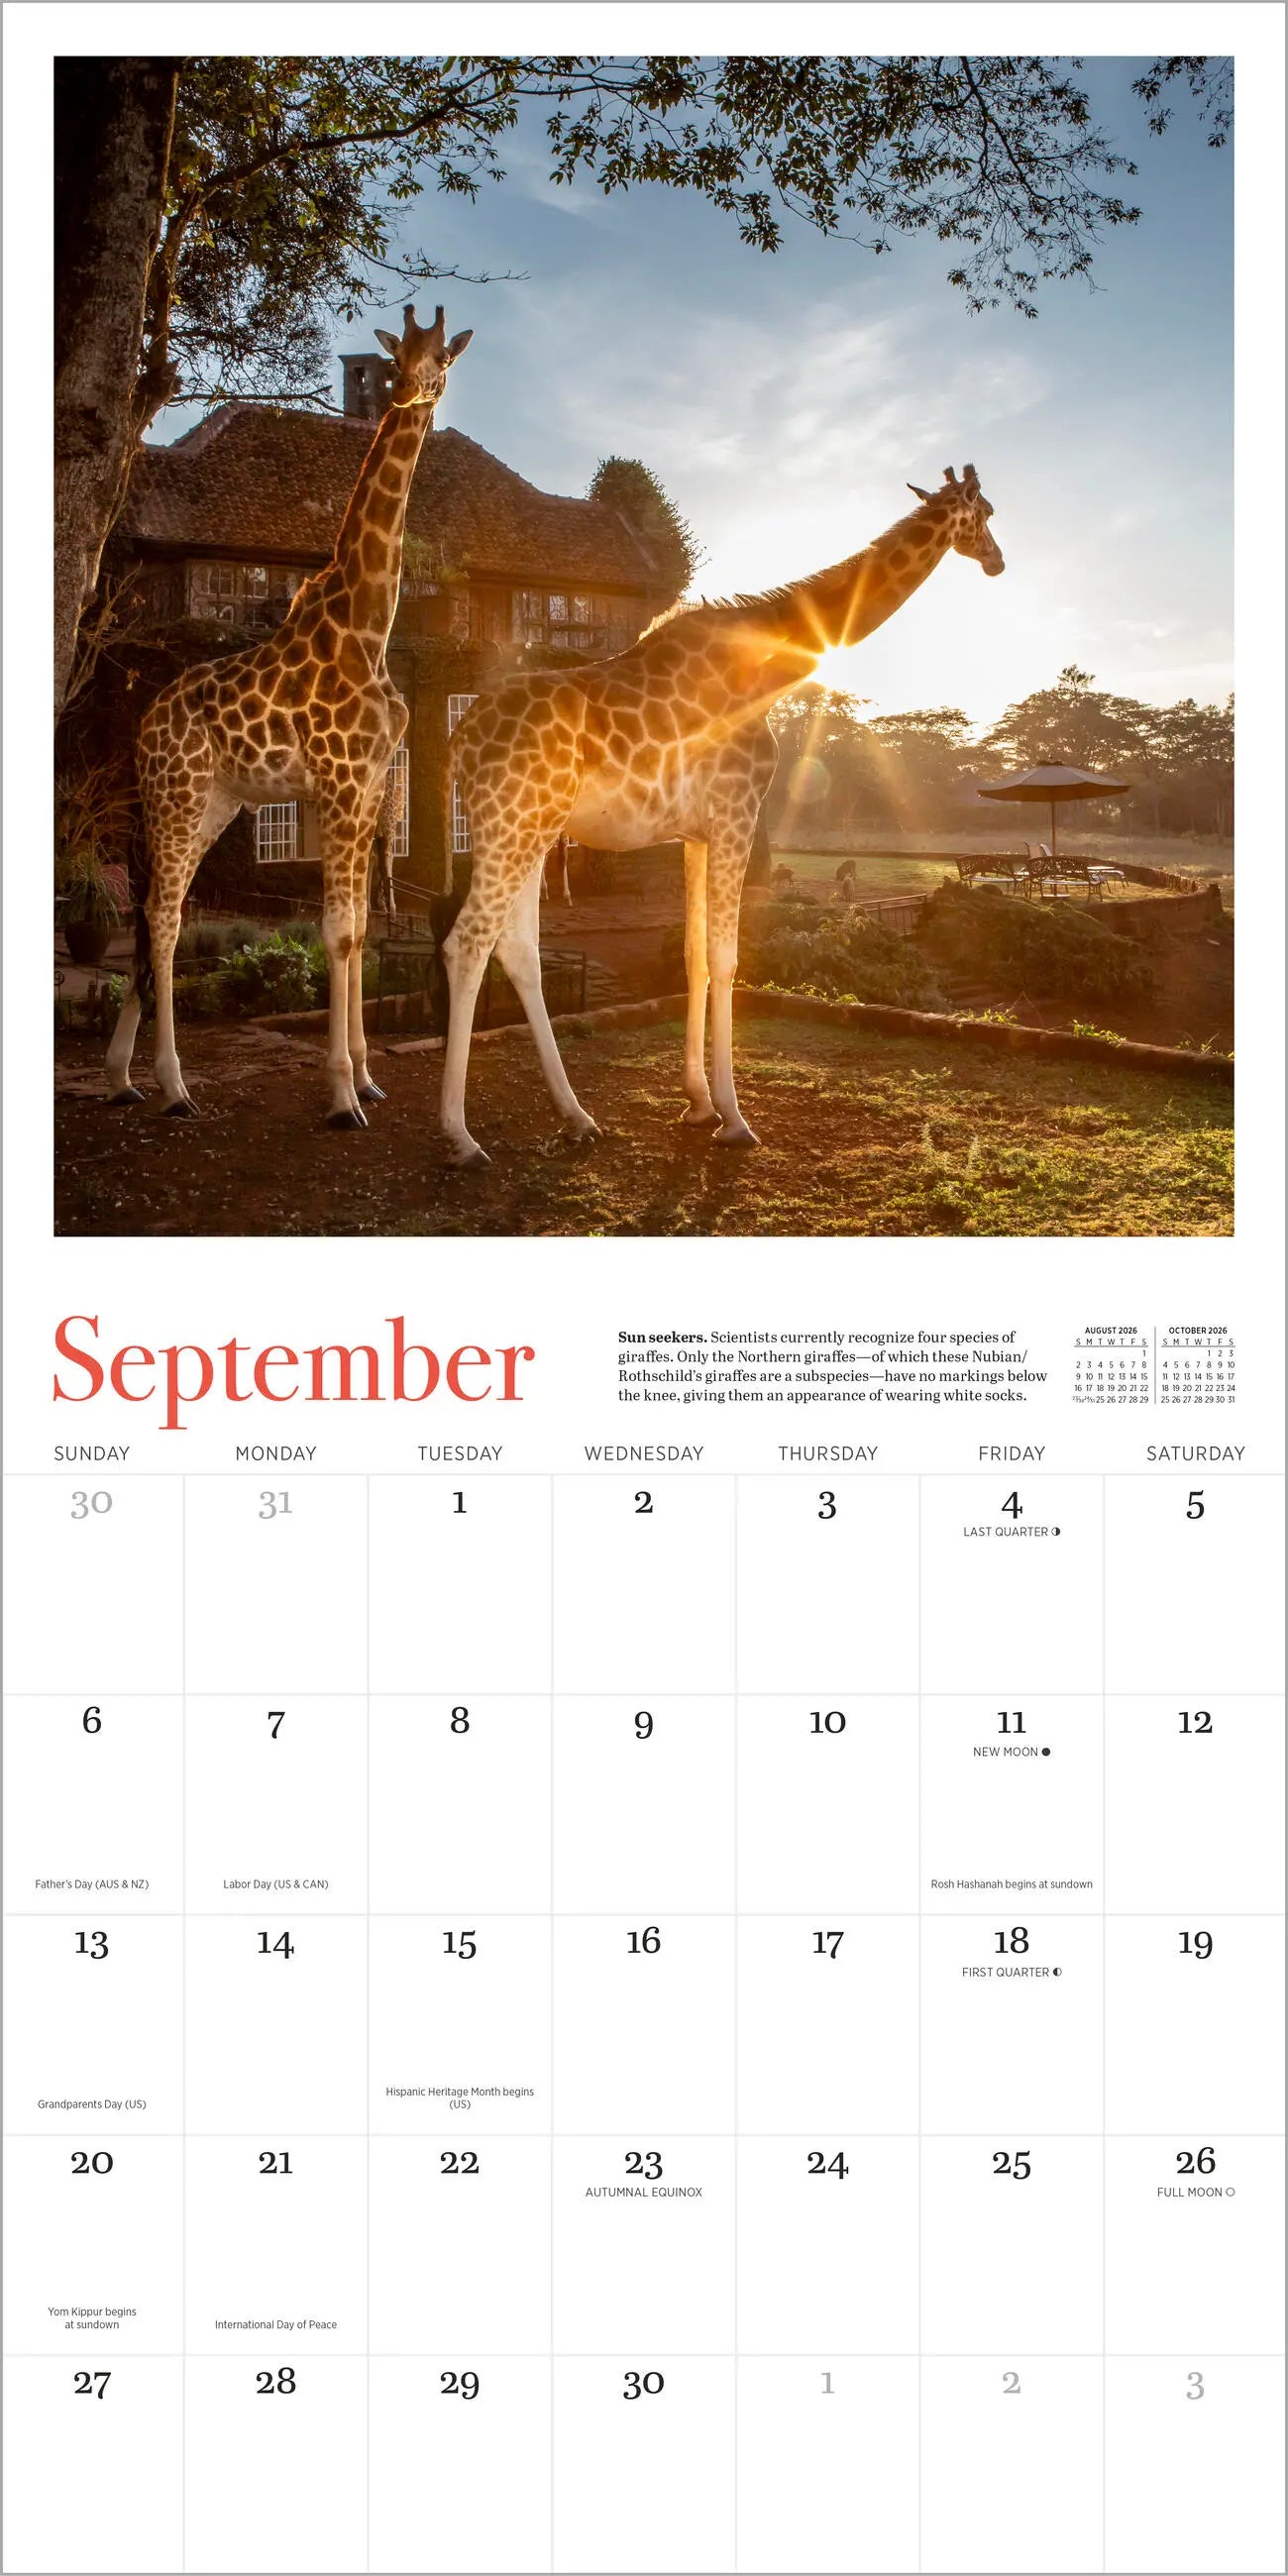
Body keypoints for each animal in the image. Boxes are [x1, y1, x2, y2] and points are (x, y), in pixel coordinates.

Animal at [105, 304, 471, 1124]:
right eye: (398, 358)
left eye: (445, 359)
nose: (413, 392)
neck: (368, 625)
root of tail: (143, 725)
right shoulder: (337, 783)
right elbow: (335, 934)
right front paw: (341, 1096)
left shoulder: (366, 790)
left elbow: (361, 930)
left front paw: (366, 1077)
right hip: (176, 798)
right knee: (163, 921)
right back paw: (174, 1086)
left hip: (209, 806)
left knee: (153, 917)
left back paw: (119, 1077)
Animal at [438, 464, 1004, 1167]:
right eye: (987, 511)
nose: (998, 561)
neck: (768, 665)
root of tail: (459, 743)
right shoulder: (738, 812)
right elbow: (730, 957)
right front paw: (735, 1117)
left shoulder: (696, 833)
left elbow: (693, 955)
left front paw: (697, 1103)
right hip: (509, 823)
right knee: (467, 943)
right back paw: (460, 1136)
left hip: (530, 831)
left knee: (515, 949)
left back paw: (576, 1116)